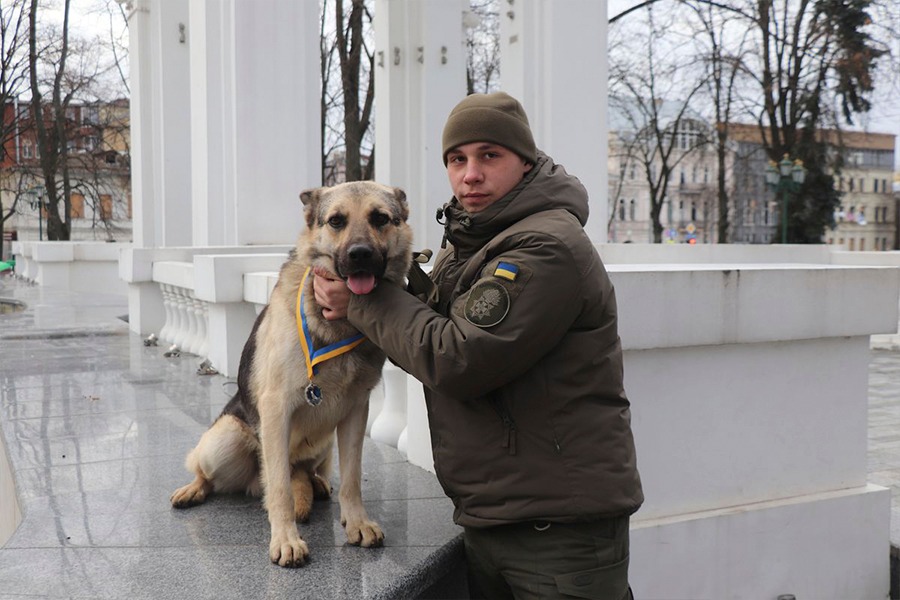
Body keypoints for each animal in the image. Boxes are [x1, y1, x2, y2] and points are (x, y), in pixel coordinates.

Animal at [170, 182, 414, 568]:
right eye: (336, 221)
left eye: (380, 218)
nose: (360, 255)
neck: (336, 324)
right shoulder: (276, 410)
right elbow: (281, 488)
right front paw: (285, 539)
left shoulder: (355, 414)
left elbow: (351, 478)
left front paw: (355, 521)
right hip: (224, 441)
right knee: (218, 473)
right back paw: (194, 488)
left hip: (324, 441)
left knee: (306, 470)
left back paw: (315, 483)